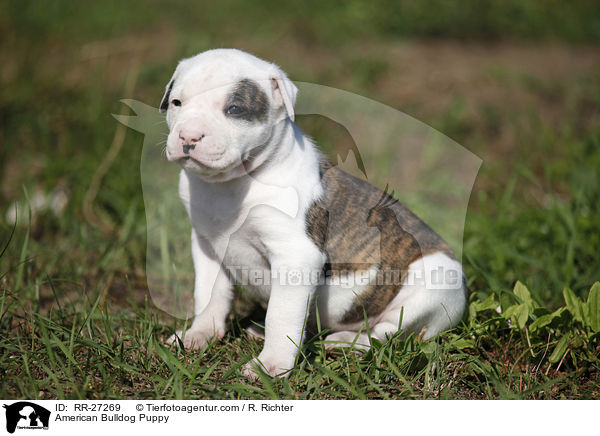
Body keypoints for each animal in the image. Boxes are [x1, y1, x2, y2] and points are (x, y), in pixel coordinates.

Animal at [161, 48, 468, 378]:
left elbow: (281, 314)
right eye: (177, 103)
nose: (188, 137)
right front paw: (197, 335)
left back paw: (345, 342)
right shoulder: (207, 245)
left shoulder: (295, 255)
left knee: (386, 333)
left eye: (234, 109)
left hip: (433, 284)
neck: (230, 186)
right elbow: (209, 294)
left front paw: (270, 365)